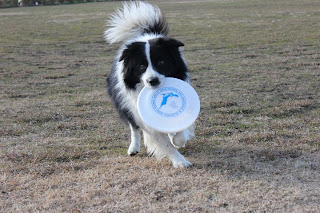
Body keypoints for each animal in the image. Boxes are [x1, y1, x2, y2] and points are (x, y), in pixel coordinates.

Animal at [105, 1, 195, 168]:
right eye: (141, 66)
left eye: (161, 62)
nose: (153, 81)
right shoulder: (137, 111)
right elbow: (165, 143)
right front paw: (180, 161)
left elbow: (180, 129)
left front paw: (178, 141)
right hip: (126, 106)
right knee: (134, 127)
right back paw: (133, 148)